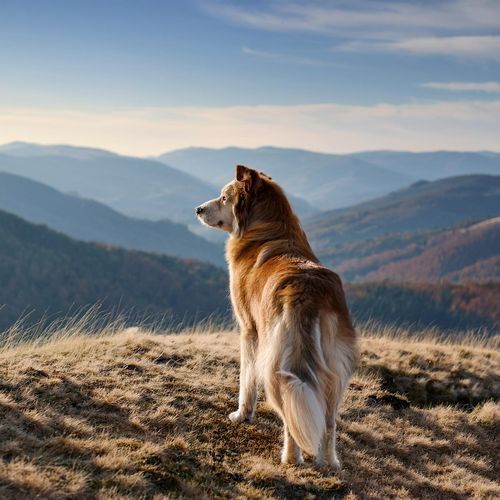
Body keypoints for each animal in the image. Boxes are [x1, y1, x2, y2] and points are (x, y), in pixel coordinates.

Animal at [194, 166, 356, 466]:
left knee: (290, 410)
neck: (267, 228)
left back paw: (291, 457)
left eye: (224, 197)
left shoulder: (249, 330)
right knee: (329, 419)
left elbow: (246, 379)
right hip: (335, 365)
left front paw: (242, 415)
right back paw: (329, 462)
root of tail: (307, 293)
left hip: (277, 361)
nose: (197, 209)